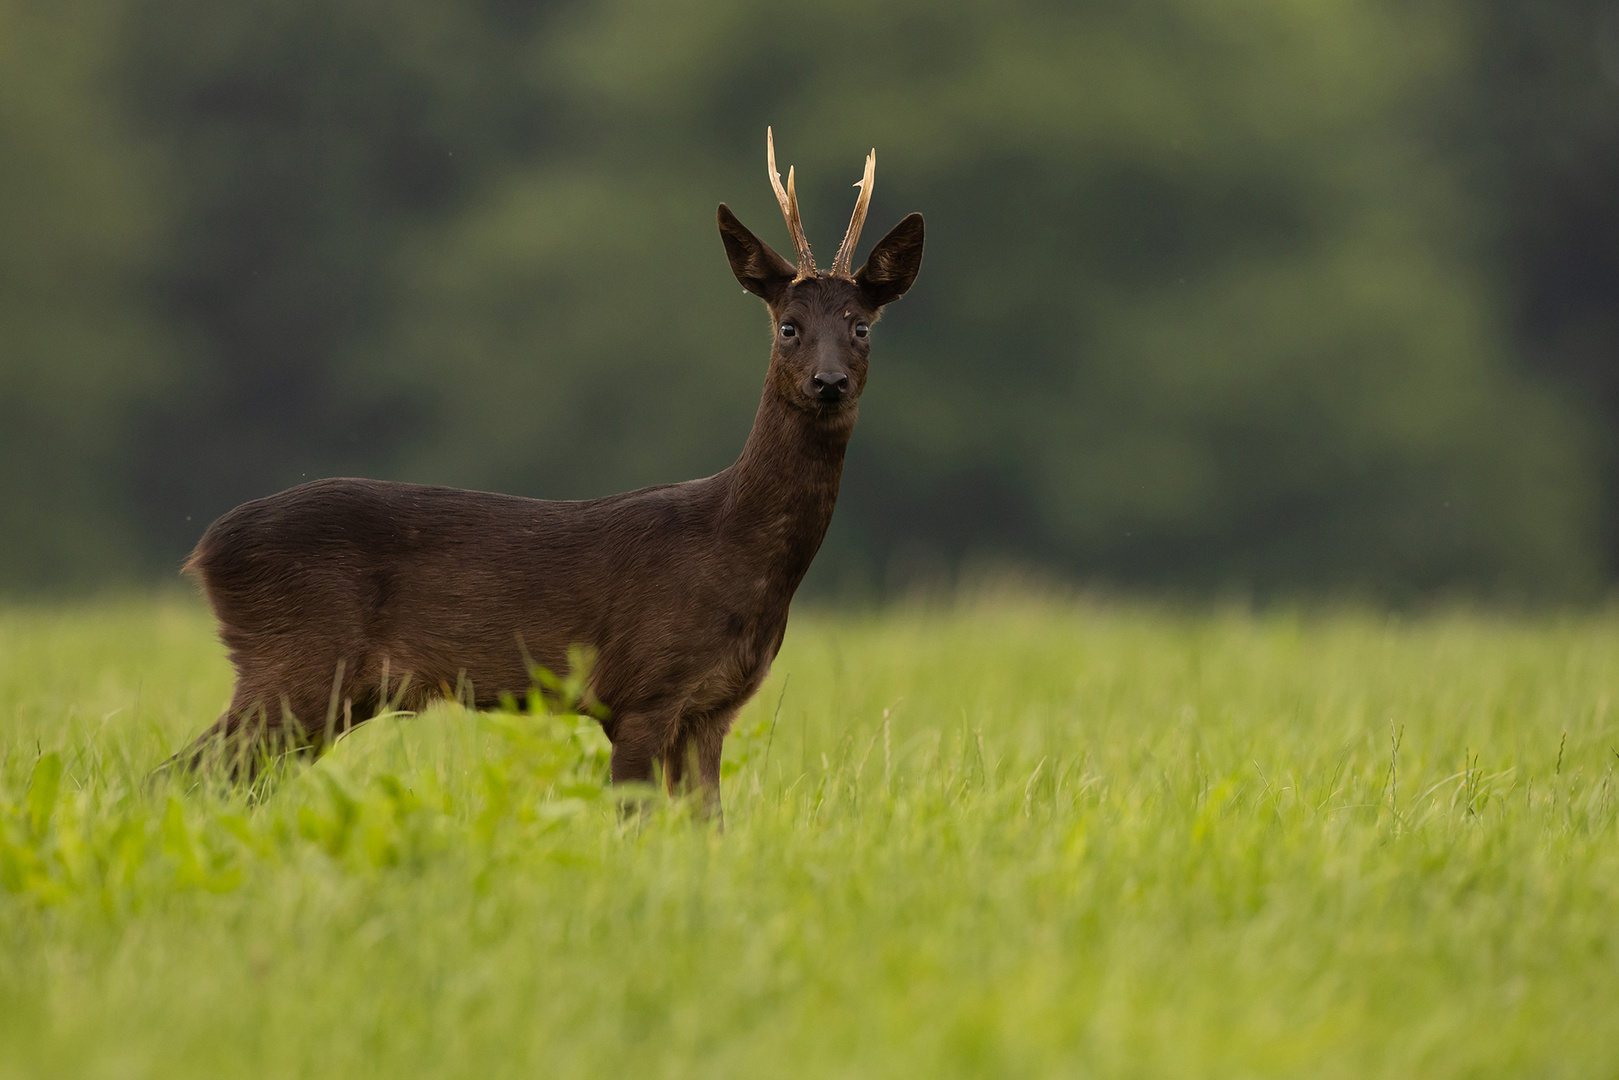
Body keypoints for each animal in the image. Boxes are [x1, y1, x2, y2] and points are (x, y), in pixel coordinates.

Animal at [167, 128, 926, 819]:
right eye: (788, 326)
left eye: (861, 326)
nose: (829, 382)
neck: (735, 552)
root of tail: (205, 548)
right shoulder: (640, 690)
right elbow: (634, 820)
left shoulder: (713, 706)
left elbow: (707, 826)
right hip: (293, 661)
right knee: (186, 773)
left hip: (331, 689)